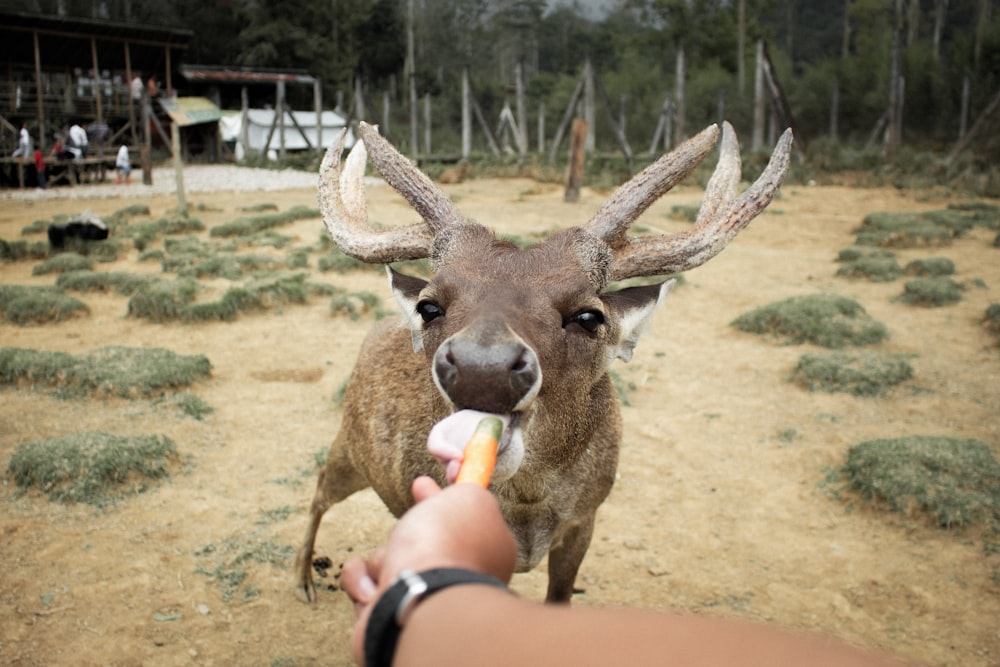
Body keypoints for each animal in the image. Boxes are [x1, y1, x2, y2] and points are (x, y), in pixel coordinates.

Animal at [292, 120, 792, 604]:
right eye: (430, 306)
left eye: (589, 315)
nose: (482, 368)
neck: (528, 511)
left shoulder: (587, 518)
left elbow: (560, 596)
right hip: (349, 447)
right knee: (319, 489)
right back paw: (303, 579)